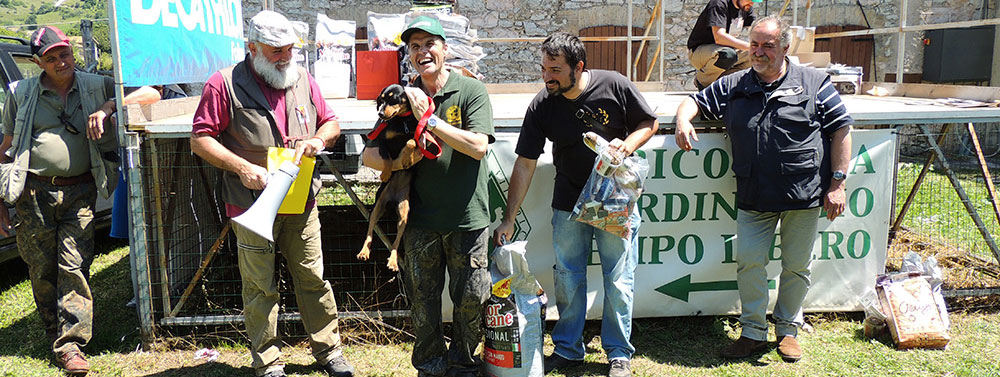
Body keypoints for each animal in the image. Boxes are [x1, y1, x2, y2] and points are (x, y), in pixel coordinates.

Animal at [358, 83, 424, 270]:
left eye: (393, 98)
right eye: (380, 100)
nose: (380, 114)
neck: (402, 123)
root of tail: (393, 198)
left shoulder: (418, 138)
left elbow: (410, 142)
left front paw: (408, 158)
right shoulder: (381, 141)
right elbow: (387, 158)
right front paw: (387, 173)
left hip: (404, 213)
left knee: (396, 242)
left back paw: (393, 262)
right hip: (378, 205)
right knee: (370, 232)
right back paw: (364, 252)